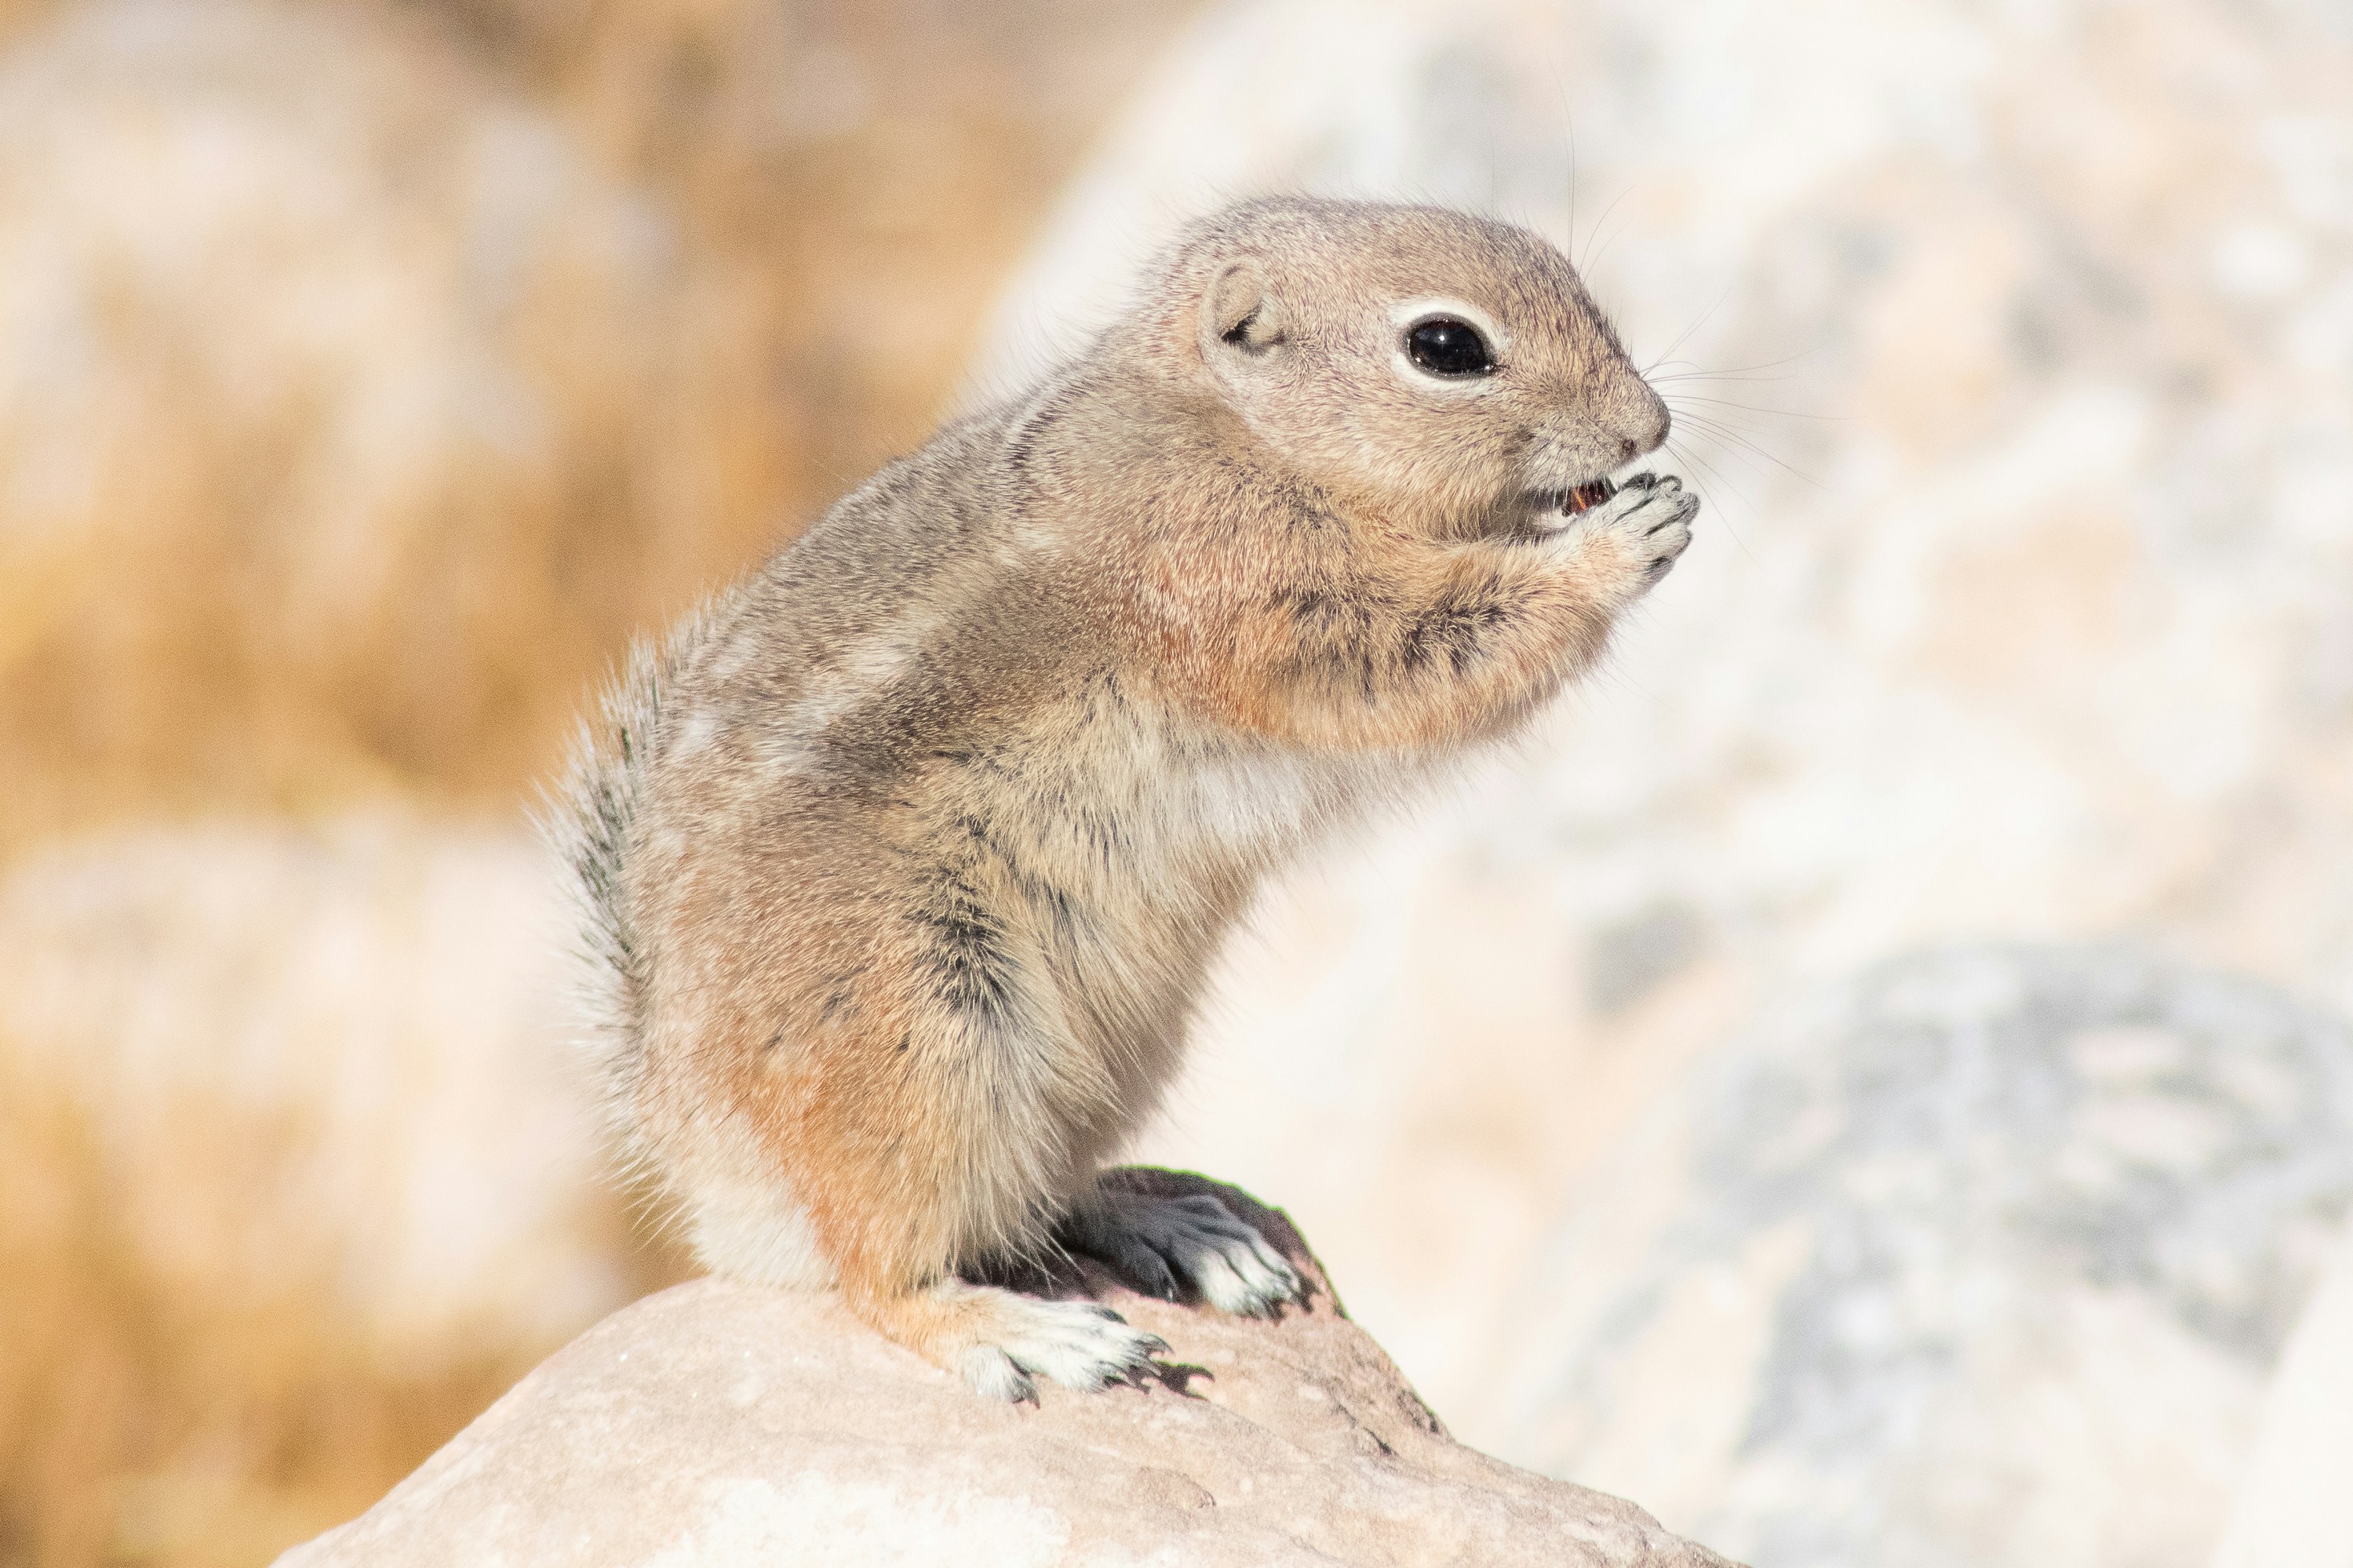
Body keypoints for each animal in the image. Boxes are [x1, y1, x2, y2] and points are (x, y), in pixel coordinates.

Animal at [547, 196, 1696, 1401]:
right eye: (1446, 347)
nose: (1649, 424)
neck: (1231, 425)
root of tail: (694, 1149)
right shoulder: (1239, 579)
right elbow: (1426, 650)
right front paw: (1615, 542)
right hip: (922, 1032)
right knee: (883, 1269)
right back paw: (1025, 1332)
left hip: (1106, 1049)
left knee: (1030, 1195)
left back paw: (1180, 1232)